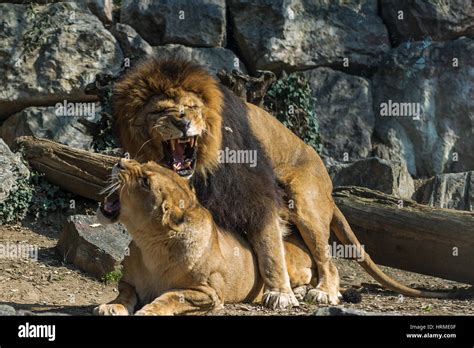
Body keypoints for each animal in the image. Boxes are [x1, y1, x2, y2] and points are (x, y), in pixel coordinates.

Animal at [95, 160, 316, 316]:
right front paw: (112, 306)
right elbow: (125, 293)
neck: (150, 245)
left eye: (145, 182)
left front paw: (148, 311)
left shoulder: (209, 293)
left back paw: (300, 293)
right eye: (145, 163)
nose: (119, 162)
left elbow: (172, 296)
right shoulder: (127, 281)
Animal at [112, 55, 452, 306]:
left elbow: (268, 245)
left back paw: (324, 292)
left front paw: (279, 294)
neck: (199, 171)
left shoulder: (254, 191)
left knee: (327, 261)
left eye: (193, 108)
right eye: (161, 111)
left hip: (304, 202)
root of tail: (330, 187)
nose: (182, 122)